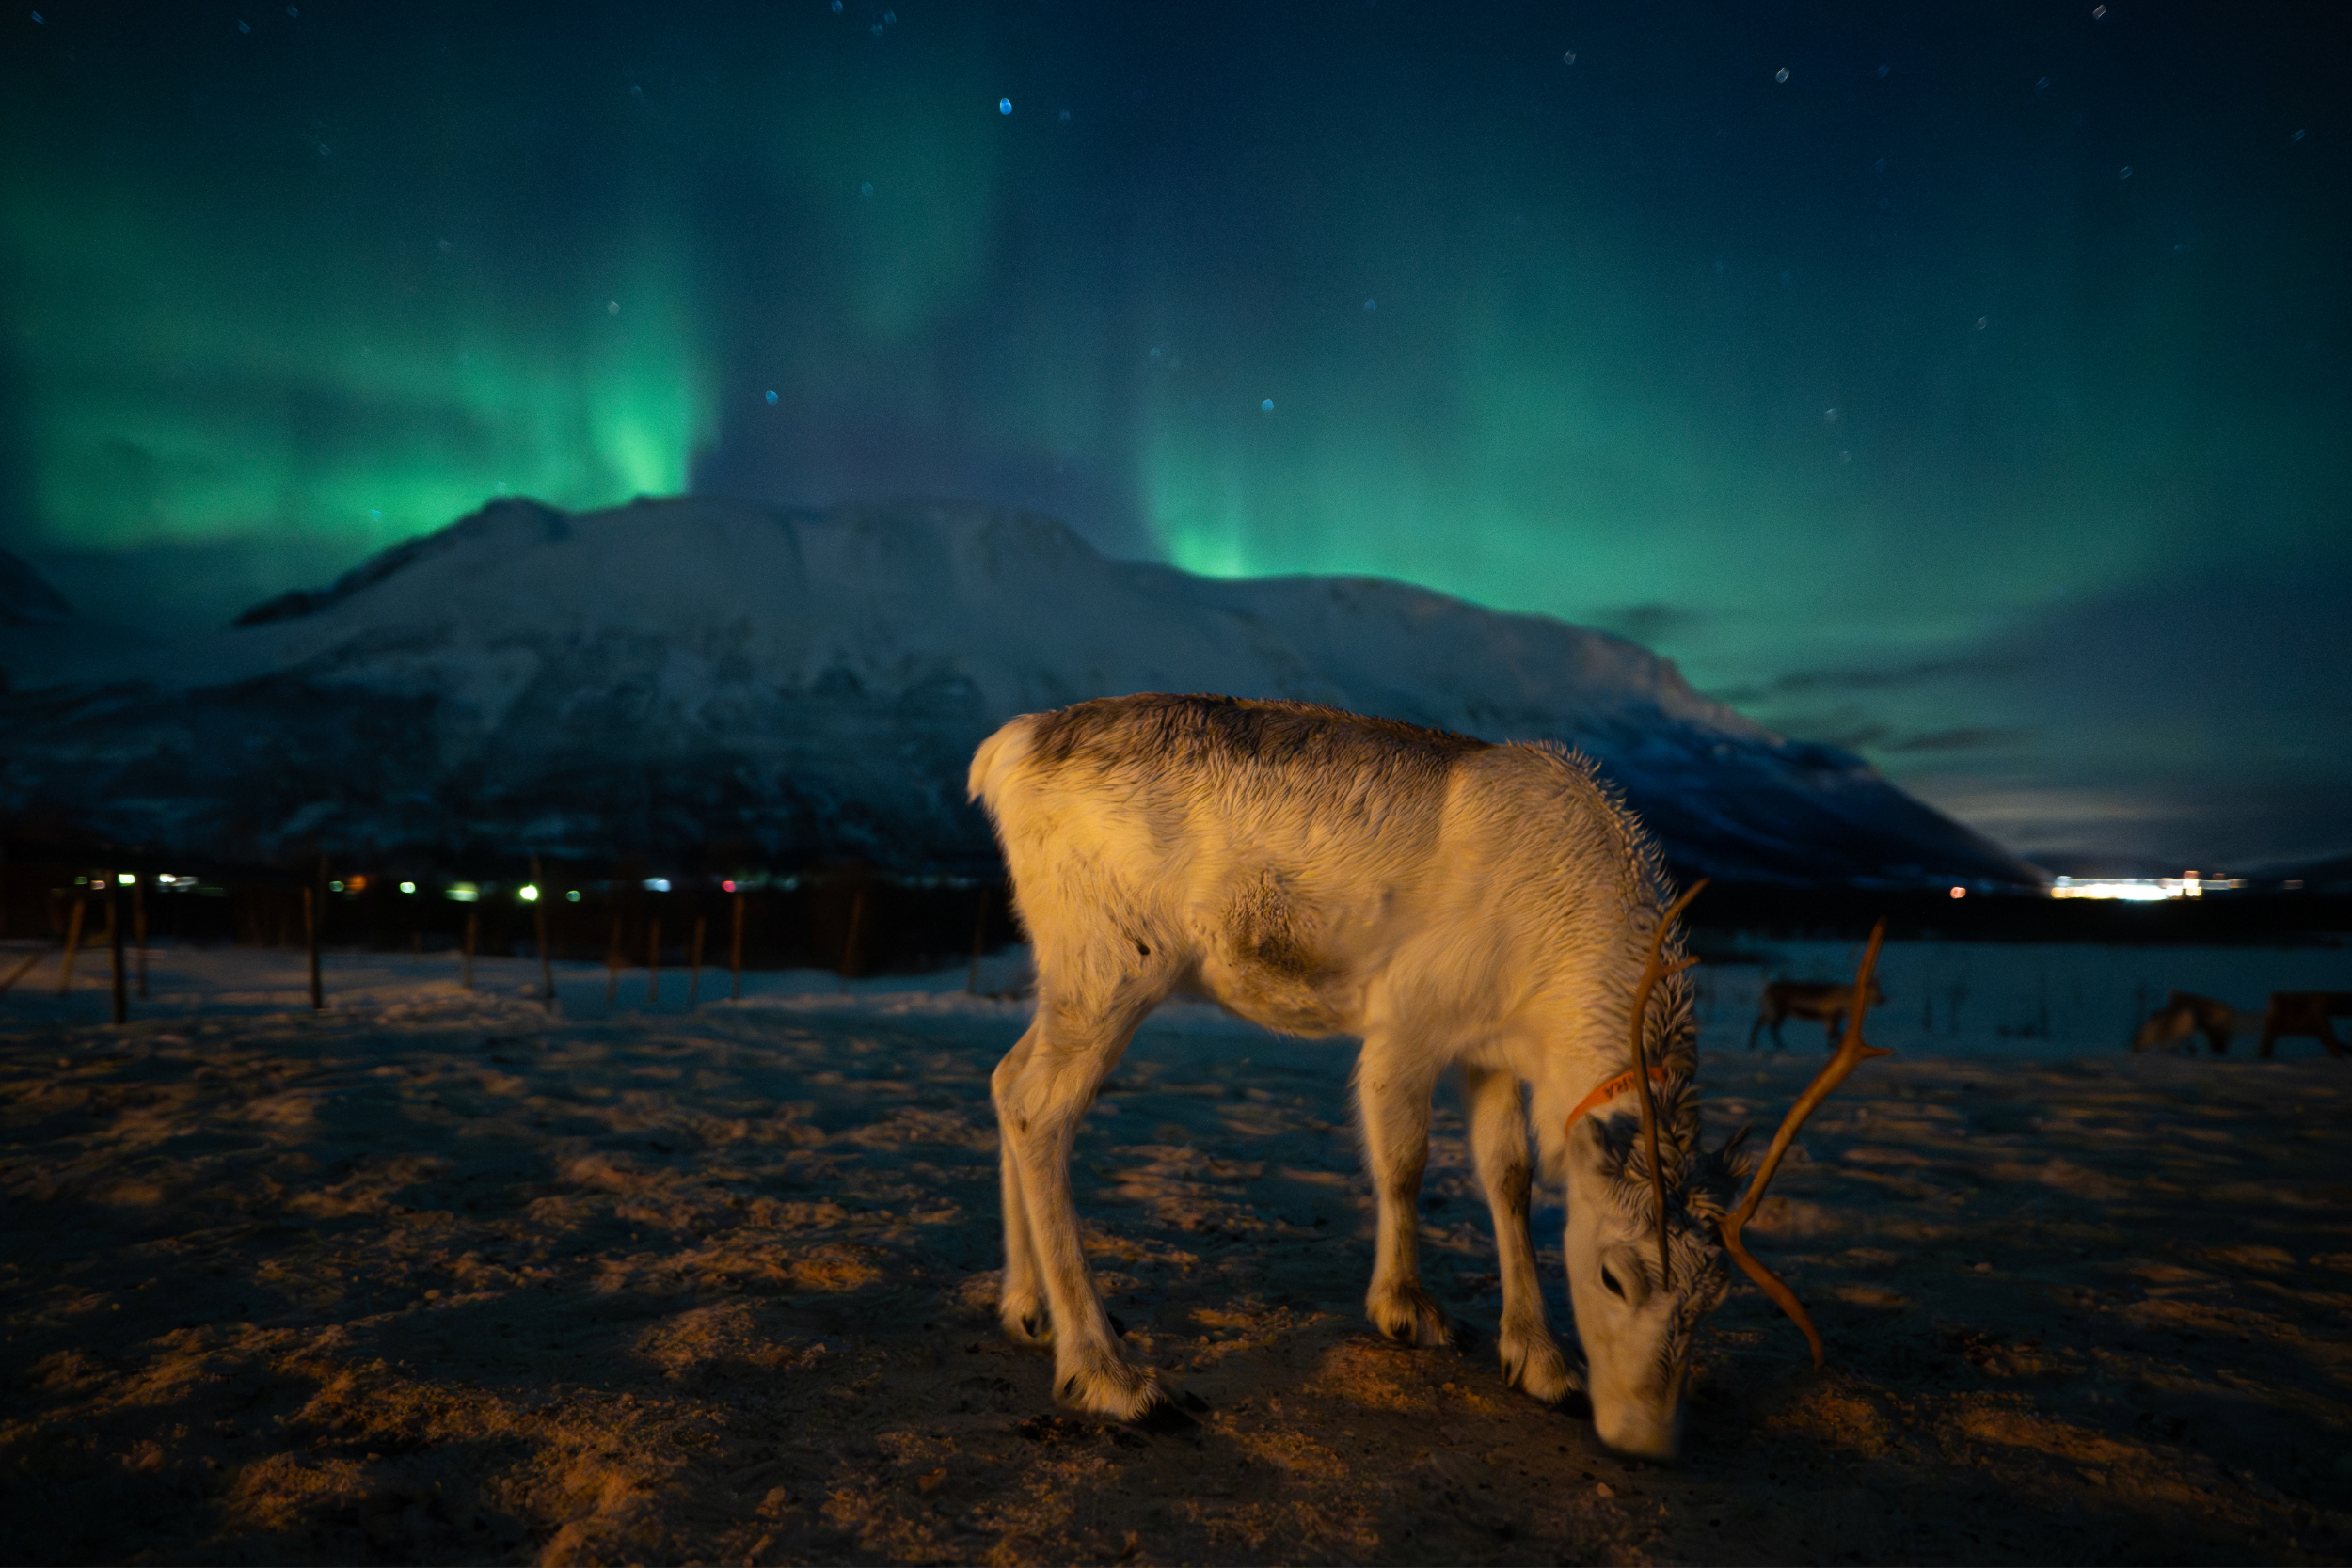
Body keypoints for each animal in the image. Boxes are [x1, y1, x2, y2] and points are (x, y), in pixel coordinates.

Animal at [1749, 977, 1889, 1052]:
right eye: (1871, 990)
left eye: (1879, 988)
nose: (1882, 1000)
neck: (1847, 1002)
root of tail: (1764, 993)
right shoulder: (1830, 1016)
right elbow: (1833, 1035)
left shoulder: (1833, 1019)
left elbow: (1834, 1035)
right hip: (1774, 1012)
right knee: (1759, 1023)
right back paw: (1752, 1045)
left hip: (1782, 1014)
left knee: (1773, 1028)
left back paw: (1781, 1046)